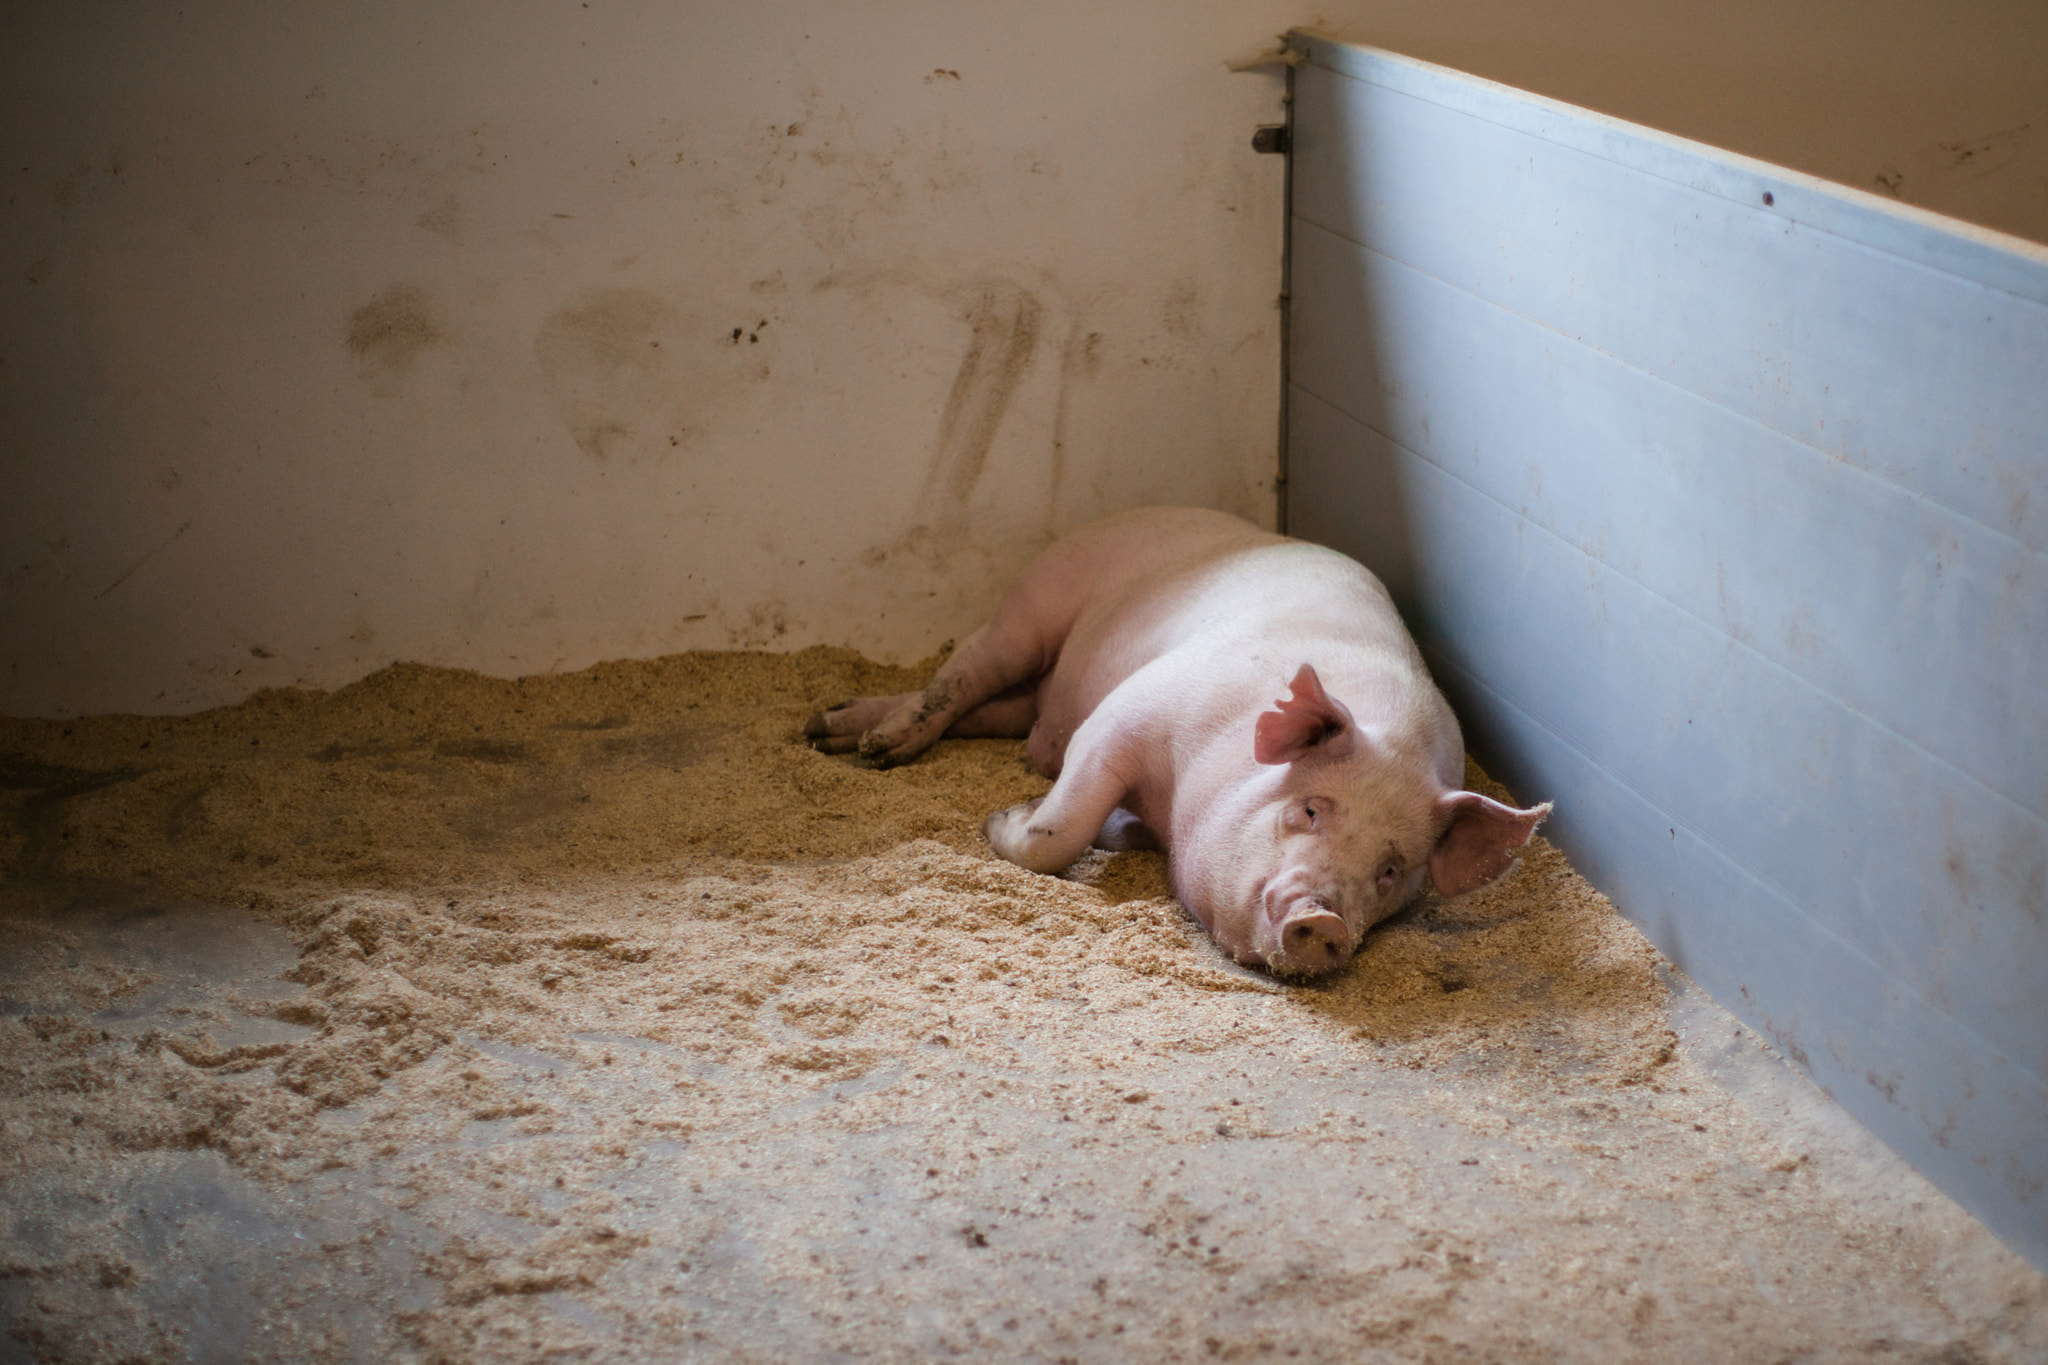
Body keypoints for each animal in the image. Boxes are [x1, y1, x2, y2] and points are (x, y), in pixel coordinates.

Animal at [805, 507, 1550, 977]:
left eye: (1391, 869)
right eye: (1308, 807)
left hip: (1029, 687)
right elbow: (1060, 829)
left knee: (997, 709)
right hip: (1034, 604)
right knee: (965, 672)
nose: (1326, 919)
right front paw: (1002, 818)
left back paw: (829, 726)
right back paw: (865, 744)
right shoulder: (1127, 713)